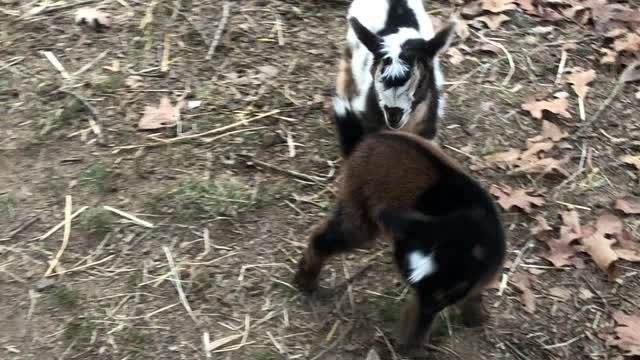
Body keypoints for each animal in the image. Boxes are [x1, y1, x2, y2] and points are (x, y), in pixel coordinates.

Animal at [292, 97, 508, 350]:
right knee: (325, 239)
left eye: (446, 292)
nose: (406, 347)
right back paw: (305, 281)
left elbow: (472, 294)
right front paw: (415, 346)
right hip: (359, 211)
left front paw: (475, 317)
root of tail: (362, 142)